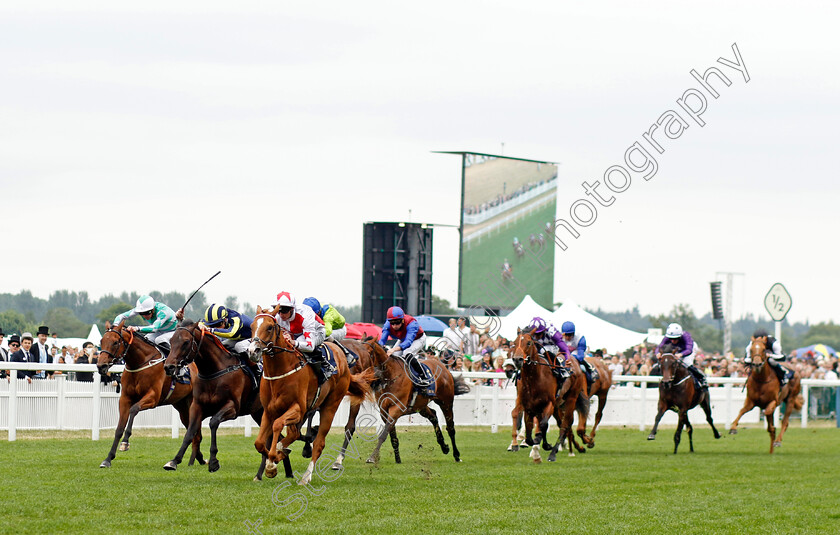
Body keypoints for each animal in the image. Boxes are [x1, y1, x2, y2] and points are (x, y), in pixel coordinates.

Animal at [95, 322, 205, 468]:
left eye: (115, 342)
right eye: (101, 341)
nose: (101, 366)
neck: (140, 363)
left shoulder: (152, 397)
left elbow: (134, 409)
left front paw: (125, 442)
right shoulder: (125, 398)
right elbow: (119, 428)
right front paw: (108, 459)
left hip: (193, 403)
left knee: (196, 433)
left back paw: (192, 461)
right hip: (181, 406)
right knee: (192, 431)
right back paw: (197, 459)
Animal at [159, 320, 294, 480]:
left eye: (186, 342)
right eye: (171, 341)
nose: (168, 367)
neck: (213, 371)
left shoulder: (232, 408)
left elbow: (213, 422)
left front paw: (213, 462)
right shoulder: (197, 407)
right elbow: (190, 432)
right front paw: (174, 461)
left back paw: (268, 472)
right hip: (259, 413)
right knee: (276, 438)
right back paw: (279, 472)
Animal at [246, 306, 370, 486]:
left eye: (269, 327)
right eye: (252, 326)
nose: (252, 351)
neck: (280, 372)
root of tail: (342, 356)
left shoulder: (297, 409)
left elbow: (277, 426)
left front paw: (273, 460)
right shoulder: (268, 411)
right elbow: (260, 443)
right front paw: (272, 463)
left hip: (330, 406)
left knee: (319, 443)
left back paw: (306, 476)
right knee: (295, 434)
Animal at [508, 328, 588, 462]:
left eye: (529, 343)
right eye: (514, 343)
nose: (517, 359)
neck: (534, 378)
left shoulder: (549, 403)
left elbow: (542, 425)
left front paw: (539, 445)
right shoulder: (528, 405)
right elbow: (528, 430)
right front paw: (530, 444)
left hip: (570, 399)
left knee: (565, 424)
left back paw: (554, 453)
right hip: (557, 405)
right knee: (560, 423)